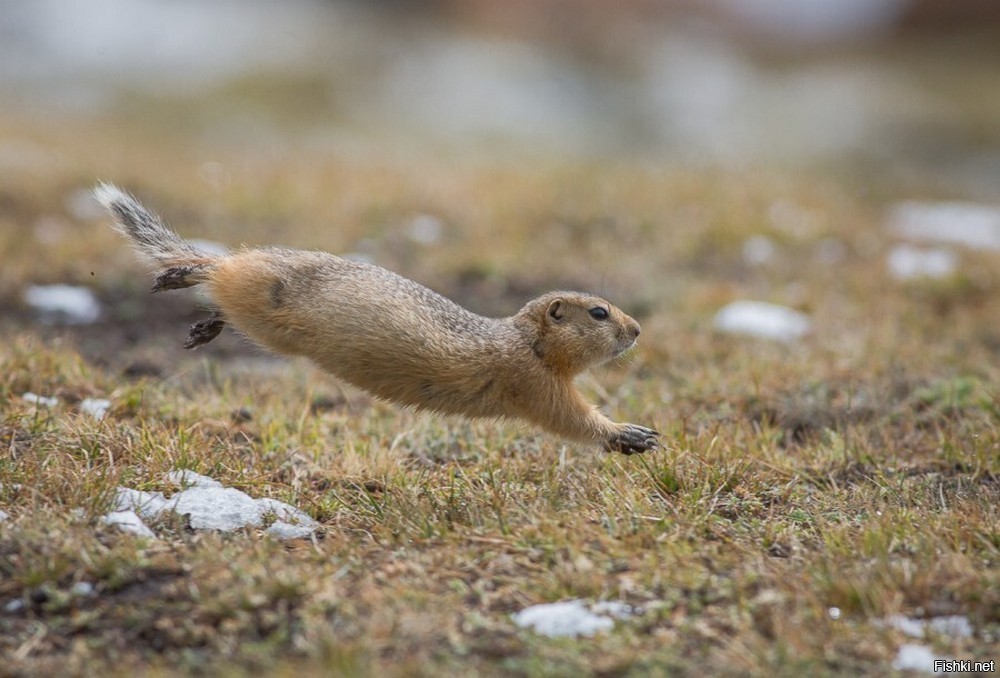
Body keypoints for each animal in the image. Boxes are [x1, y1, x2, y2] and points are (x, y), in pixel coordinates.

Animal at [92, 183, 656, 454]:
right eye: (600, 312)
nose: (637, 331)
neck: (526, 341)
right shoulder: (536, 384)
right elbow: (571, 417)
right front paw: (631, 434)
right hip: (258, 286)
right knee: (215, 266)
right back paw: (179, 275)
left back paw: (202, 321)